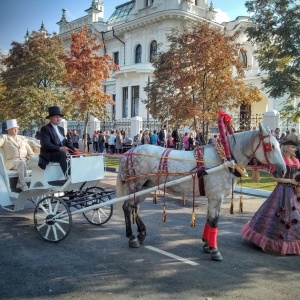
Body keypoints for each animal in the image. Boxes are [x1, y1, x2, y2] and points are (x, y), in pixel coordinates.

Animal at [115, 124, 286, 260]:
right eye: (270, 146)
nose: (283, 170)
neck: (222, 160)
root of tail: (130, 151)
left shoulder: (215, 198)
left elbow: (210, 220)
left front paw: (206, 244)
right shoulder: (216, 197)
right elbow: (214, 222)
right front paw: (214, 250)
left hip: (145, 187)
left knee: (135, 208)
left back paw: (141, 233)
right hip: (135, 185)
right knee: (127, 207)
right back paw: (132, 237)